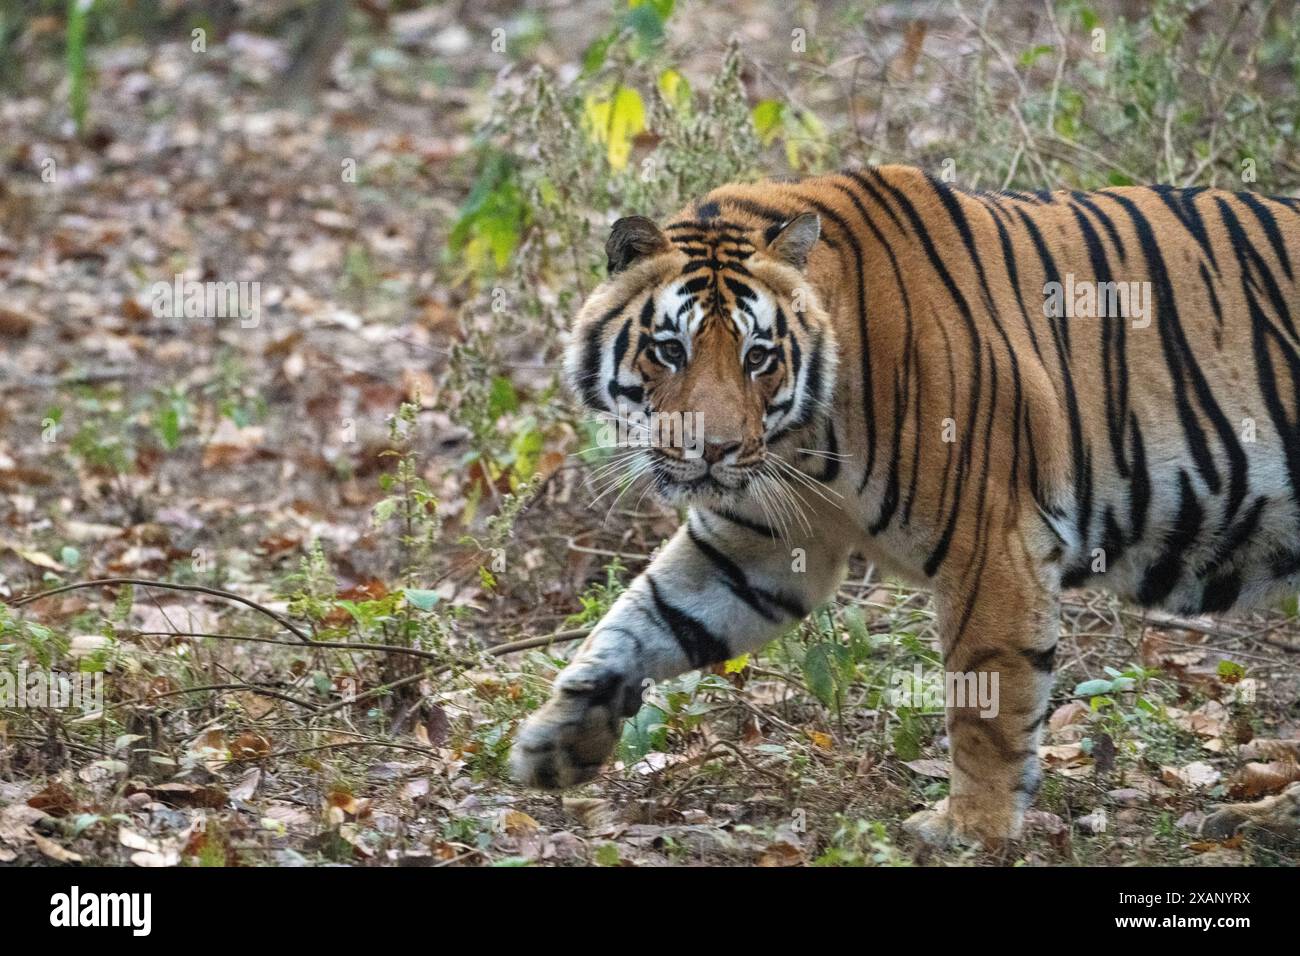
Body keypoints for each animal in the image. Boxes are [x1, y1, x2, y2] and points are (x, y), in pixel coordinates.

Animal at [506, 164, 1300, 853]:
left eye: (759, 357)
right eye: (670, 350)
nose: (716, 450)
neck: (807, 439)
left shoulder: (995, 541)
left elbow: (988, 698)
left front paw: (971, 828)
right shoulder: (758, 547)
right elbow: (639, 622)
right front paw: (557, 741)